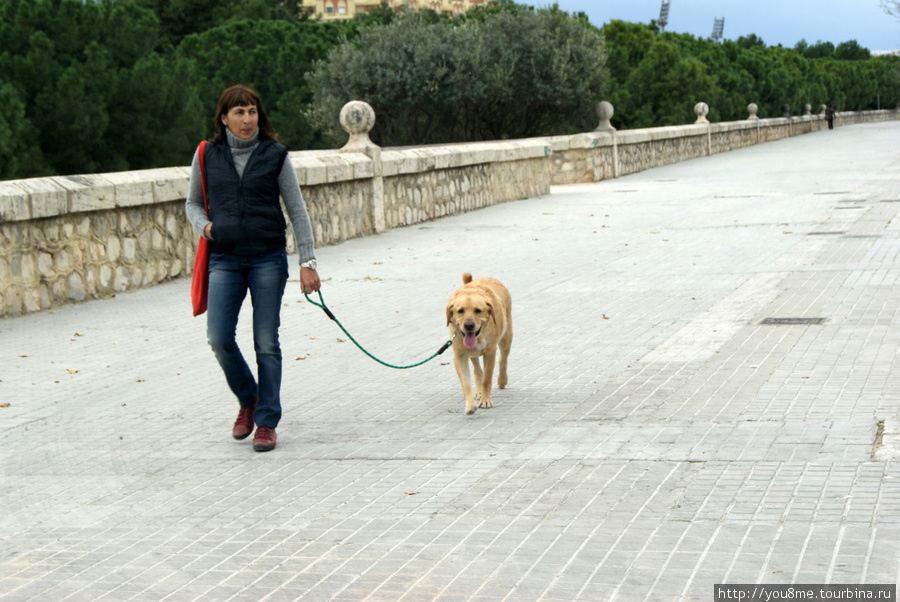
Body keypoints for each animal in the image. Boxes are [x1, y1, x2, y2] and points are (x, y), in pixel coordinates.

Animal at [444, 272, 512, 412]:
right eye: (460, 311)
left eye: (478, 310)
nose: (469, 325)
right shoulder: (459, 356)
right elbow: (465, 382)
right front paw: (470, 404)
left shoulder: (490, 352)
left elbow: (487, 379)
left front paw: (486, 400)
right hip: (472, 353)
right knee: (477, 369)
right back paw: (479, 391)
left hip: (506, 338)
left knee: (503, 360)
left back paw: (502, 380)